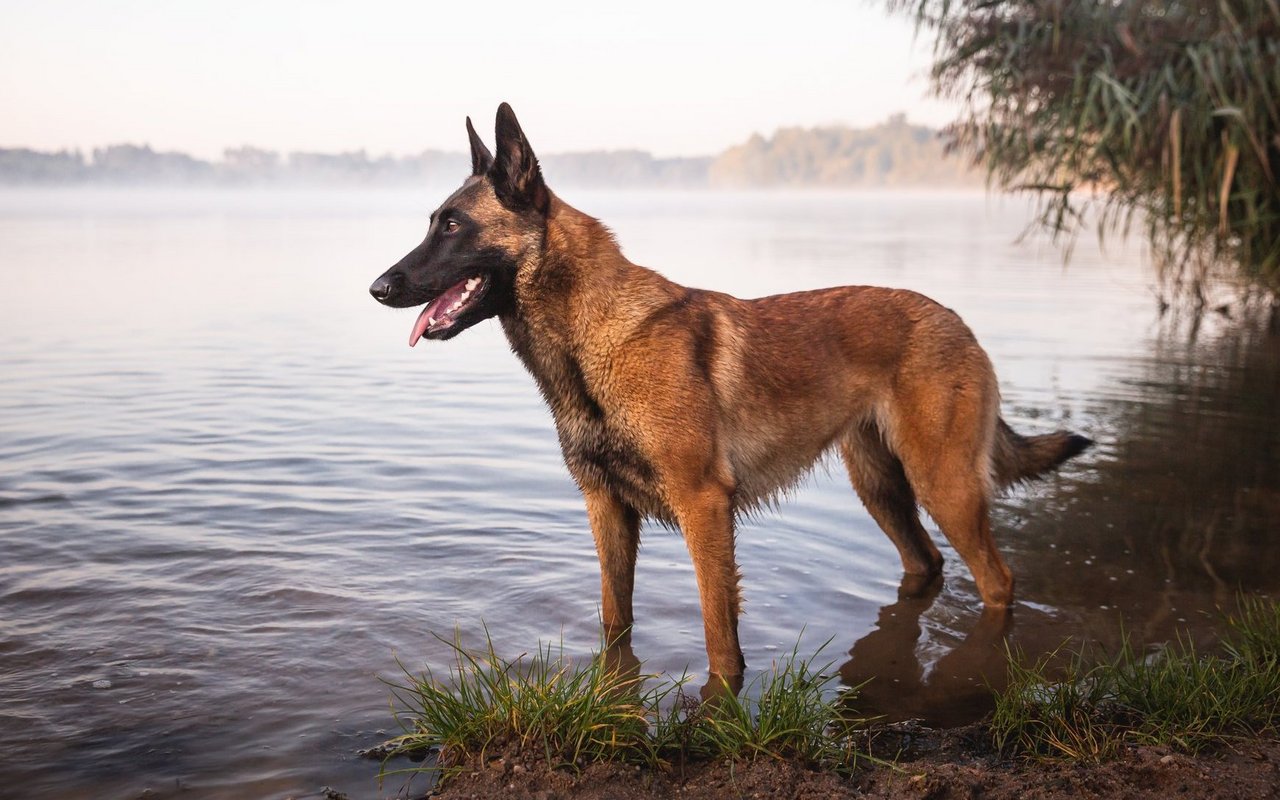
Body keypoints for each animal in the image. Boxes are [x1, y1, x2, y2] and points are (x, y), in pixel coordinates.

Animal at [368, 101, 1090, 686]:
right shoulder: (607, 510)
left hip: (944, 485)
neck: (593, 341)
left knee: (998, 580)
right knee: (927, 563)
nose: (378, 286)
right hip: (882, 488)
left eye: (453, 226)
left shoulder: (703, 507)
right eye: (434, 223)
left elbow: (719, 636)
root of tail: (957, 322)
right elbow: (615, 620)